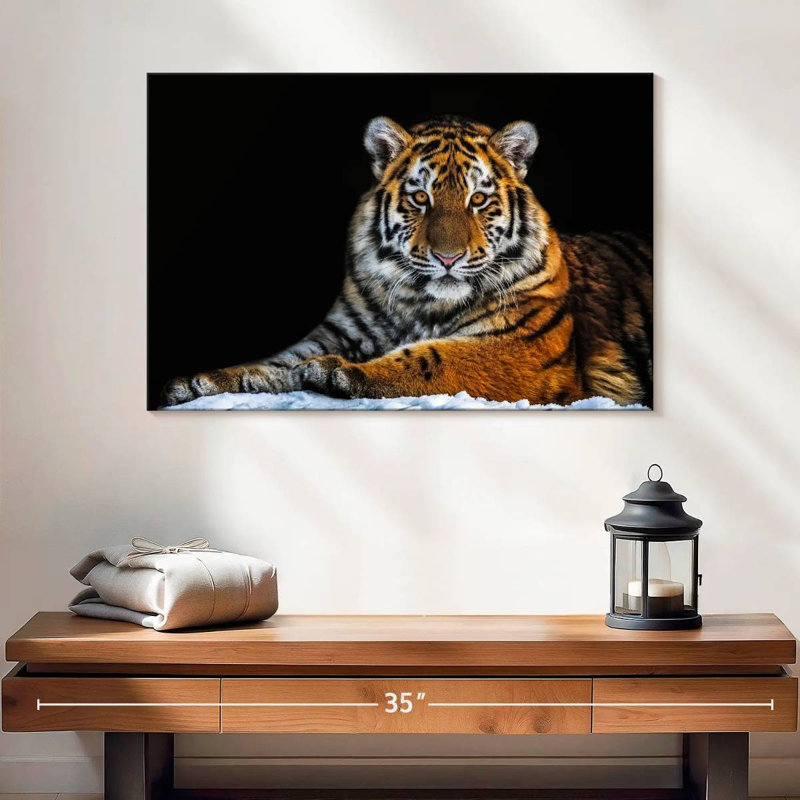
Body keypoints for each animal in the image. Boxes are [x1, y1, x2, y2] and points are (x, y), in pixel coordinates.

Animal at [162, 116, 652, 408]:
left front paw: (338, 373)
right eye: (421, 198)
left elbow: (434, 359)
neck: (420, 303)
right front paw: (202, 381)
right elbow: (276, 363)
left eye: (478, 200)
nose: (448, 257)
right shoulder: (339, 331)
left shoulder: (522, 347)